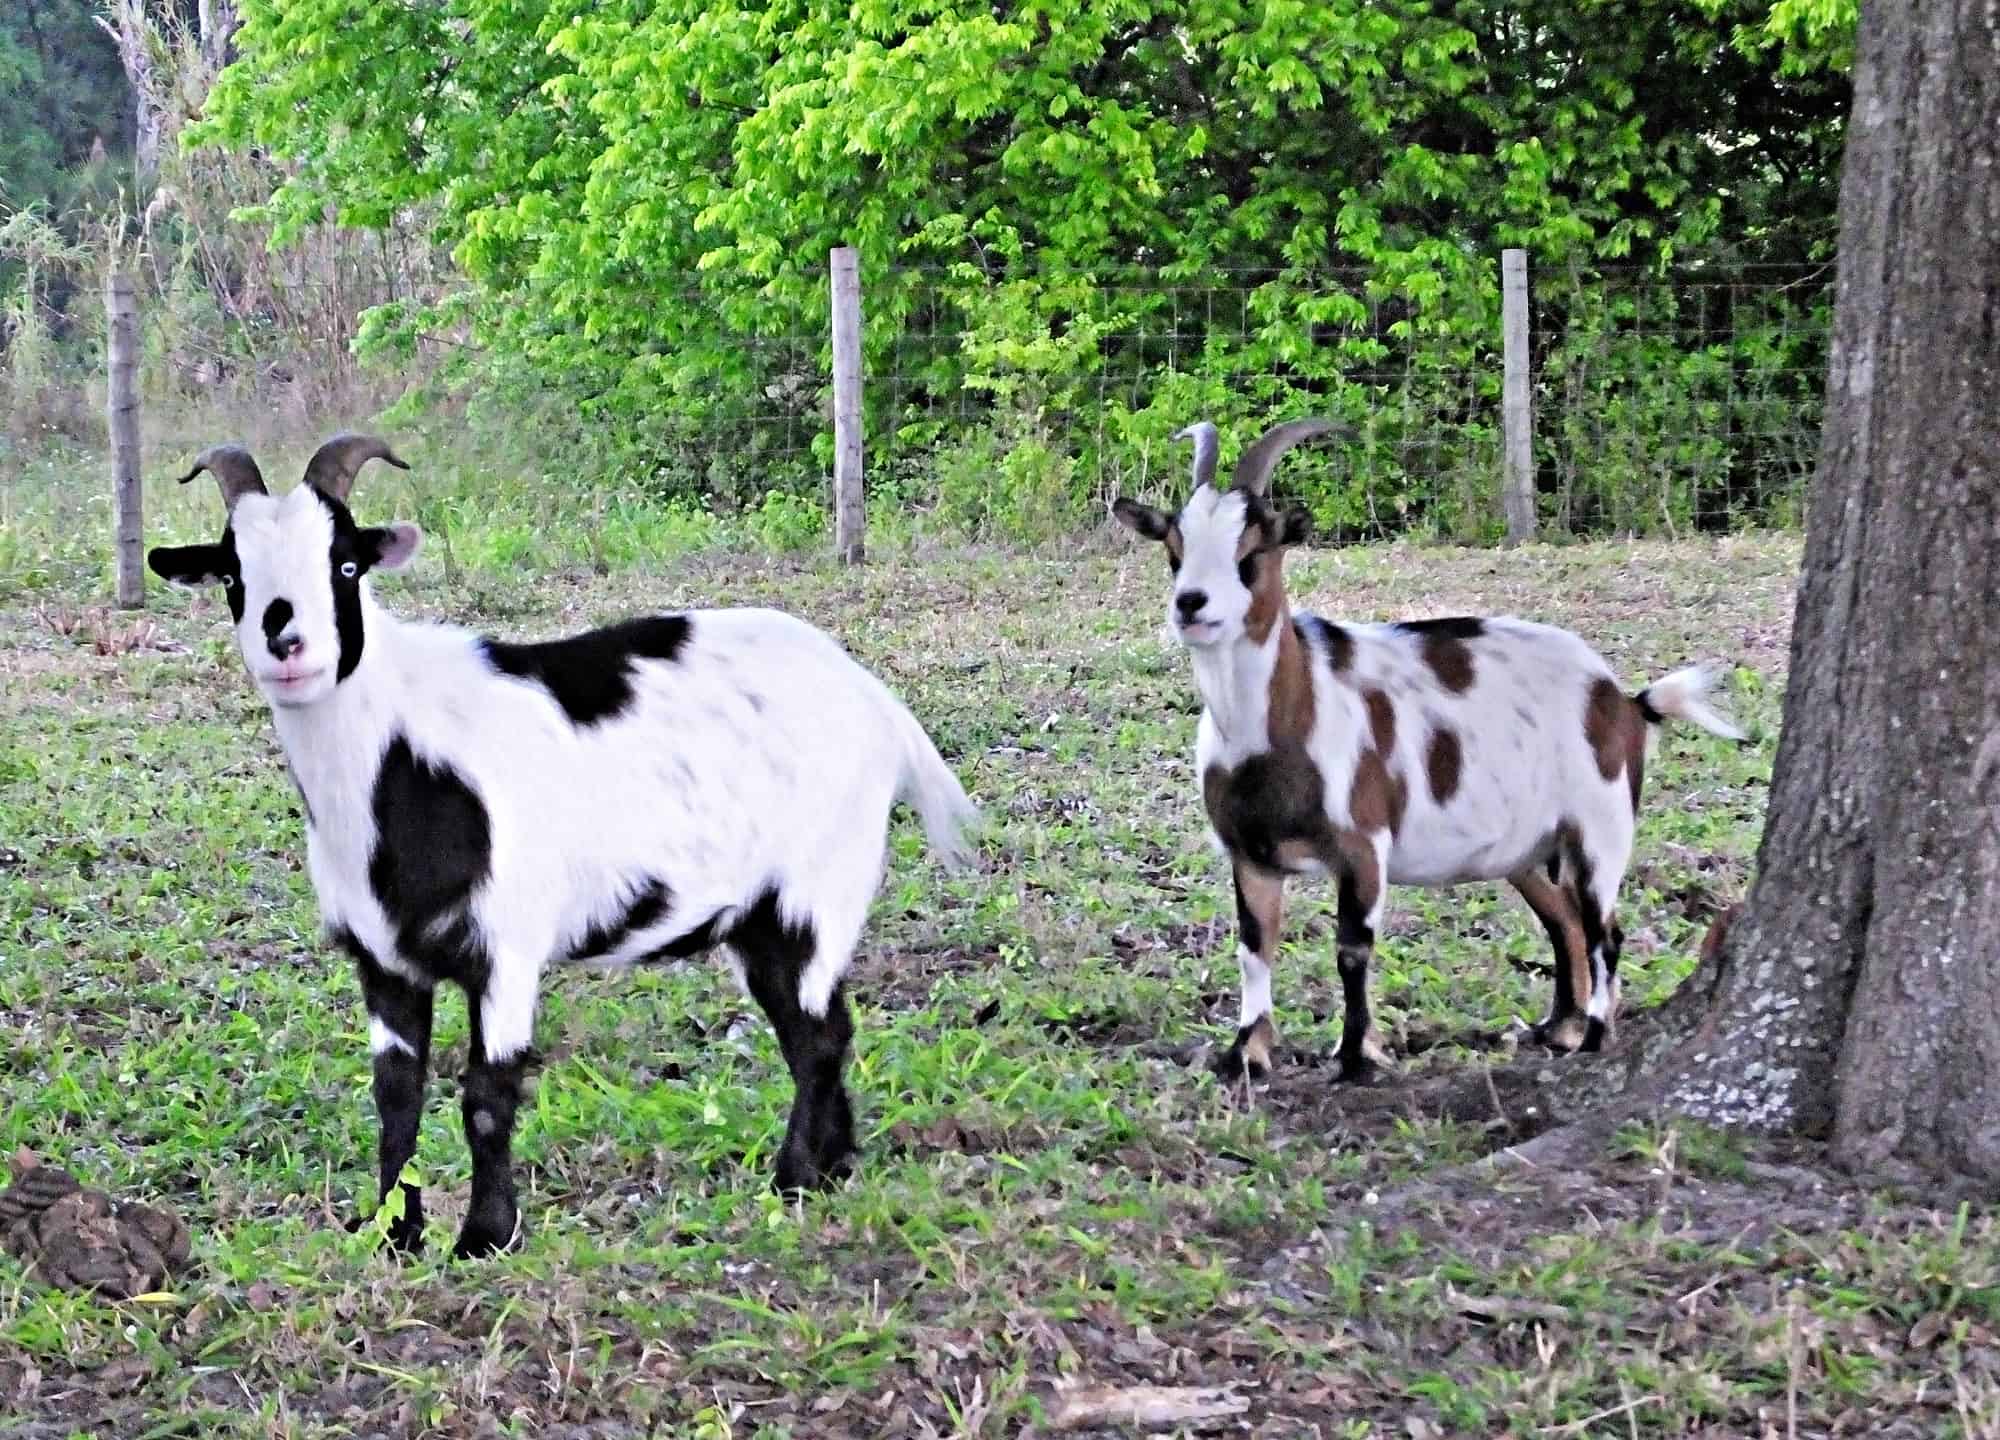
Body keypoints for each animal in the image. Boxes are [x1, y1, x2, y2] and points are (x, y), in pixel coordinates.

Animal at [148, 436, 978, 1257]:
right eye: (233, 574)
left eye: (346, 566)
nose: (286, 643)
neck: (400, 755)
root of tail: (878, 701)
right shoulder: (383, 959)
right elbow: (395, 1096)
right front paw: (394, 1233)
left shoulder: (505, 948)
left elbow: (487, 1094)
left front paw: (483, 1237)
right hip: (762, 918)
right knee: (816, 1026)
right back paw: (833, 1169)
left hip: (816, 884)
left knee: (817, 1036)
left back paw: (795, 1179)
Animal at [1112, 420, 1743, 1084]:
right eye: (1174, 549)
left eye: (1252, 554)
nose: (1191, 603)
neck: (1280, 721)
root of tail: (1623, 700)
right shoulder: (1250, 852)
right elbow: (1254, 947)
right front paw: (1246, 1055)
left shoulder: (1364, 844)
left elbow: (1352, 949)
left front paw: (1355, 1058)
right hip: (1529, 847)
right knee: (1564, 922)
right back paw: (1558, 1029)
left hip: (1601, 824)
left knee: (1604, 930)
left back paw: (1594, 1034)